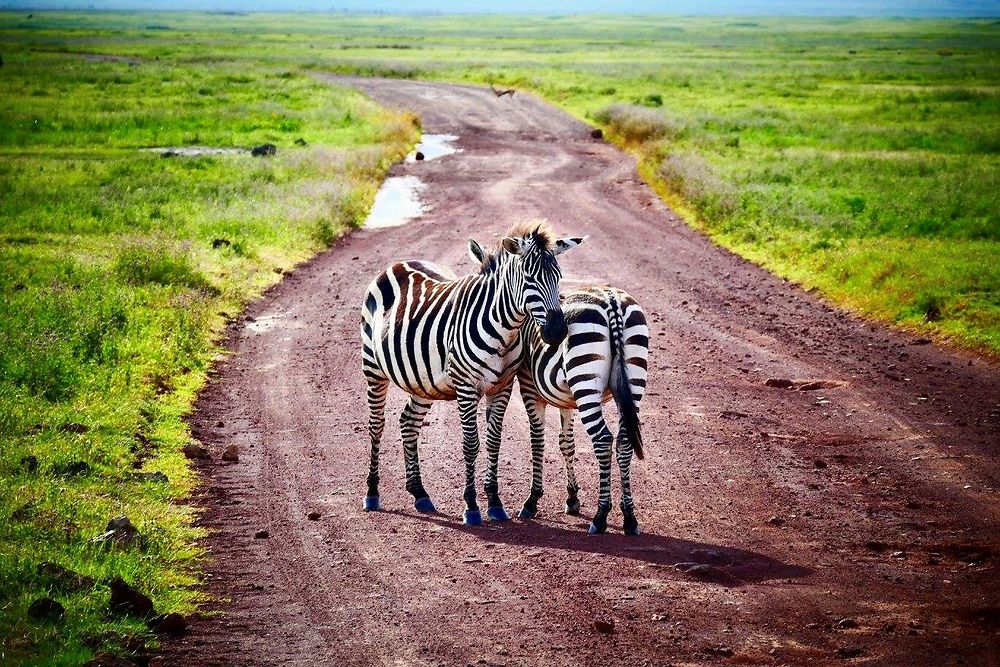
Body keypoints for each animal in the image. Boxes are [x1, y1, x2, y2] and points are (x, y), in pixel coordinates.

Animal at [362, 222, 584, 524]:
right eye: (529, 278)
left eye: (558, 277)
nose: (557, 332)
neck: (505, 330)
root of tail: (398, 263)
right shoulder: (466, 387)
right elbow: (471, 443)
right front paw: (471, 506)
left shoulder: (503, 387)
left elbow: (493, 441)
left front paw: (495, 502)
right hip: (373, 368)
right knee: (376, 425)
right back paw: (372, 493)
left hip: (422, 380)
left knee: (408, 421)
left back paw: (420, 493)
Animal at [476, 282, 648, 536]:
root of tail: (612, 301)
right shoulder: (568, 402)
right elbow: (566, 444)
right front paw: (572, 498)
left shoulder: (530, 387)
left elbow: (538, 441)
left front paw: (532, 500)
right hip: (632, 382)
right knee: (624, 441)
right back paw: (629, 518)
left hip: (586, 384)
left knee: (603, 440)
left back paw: (600, 516)